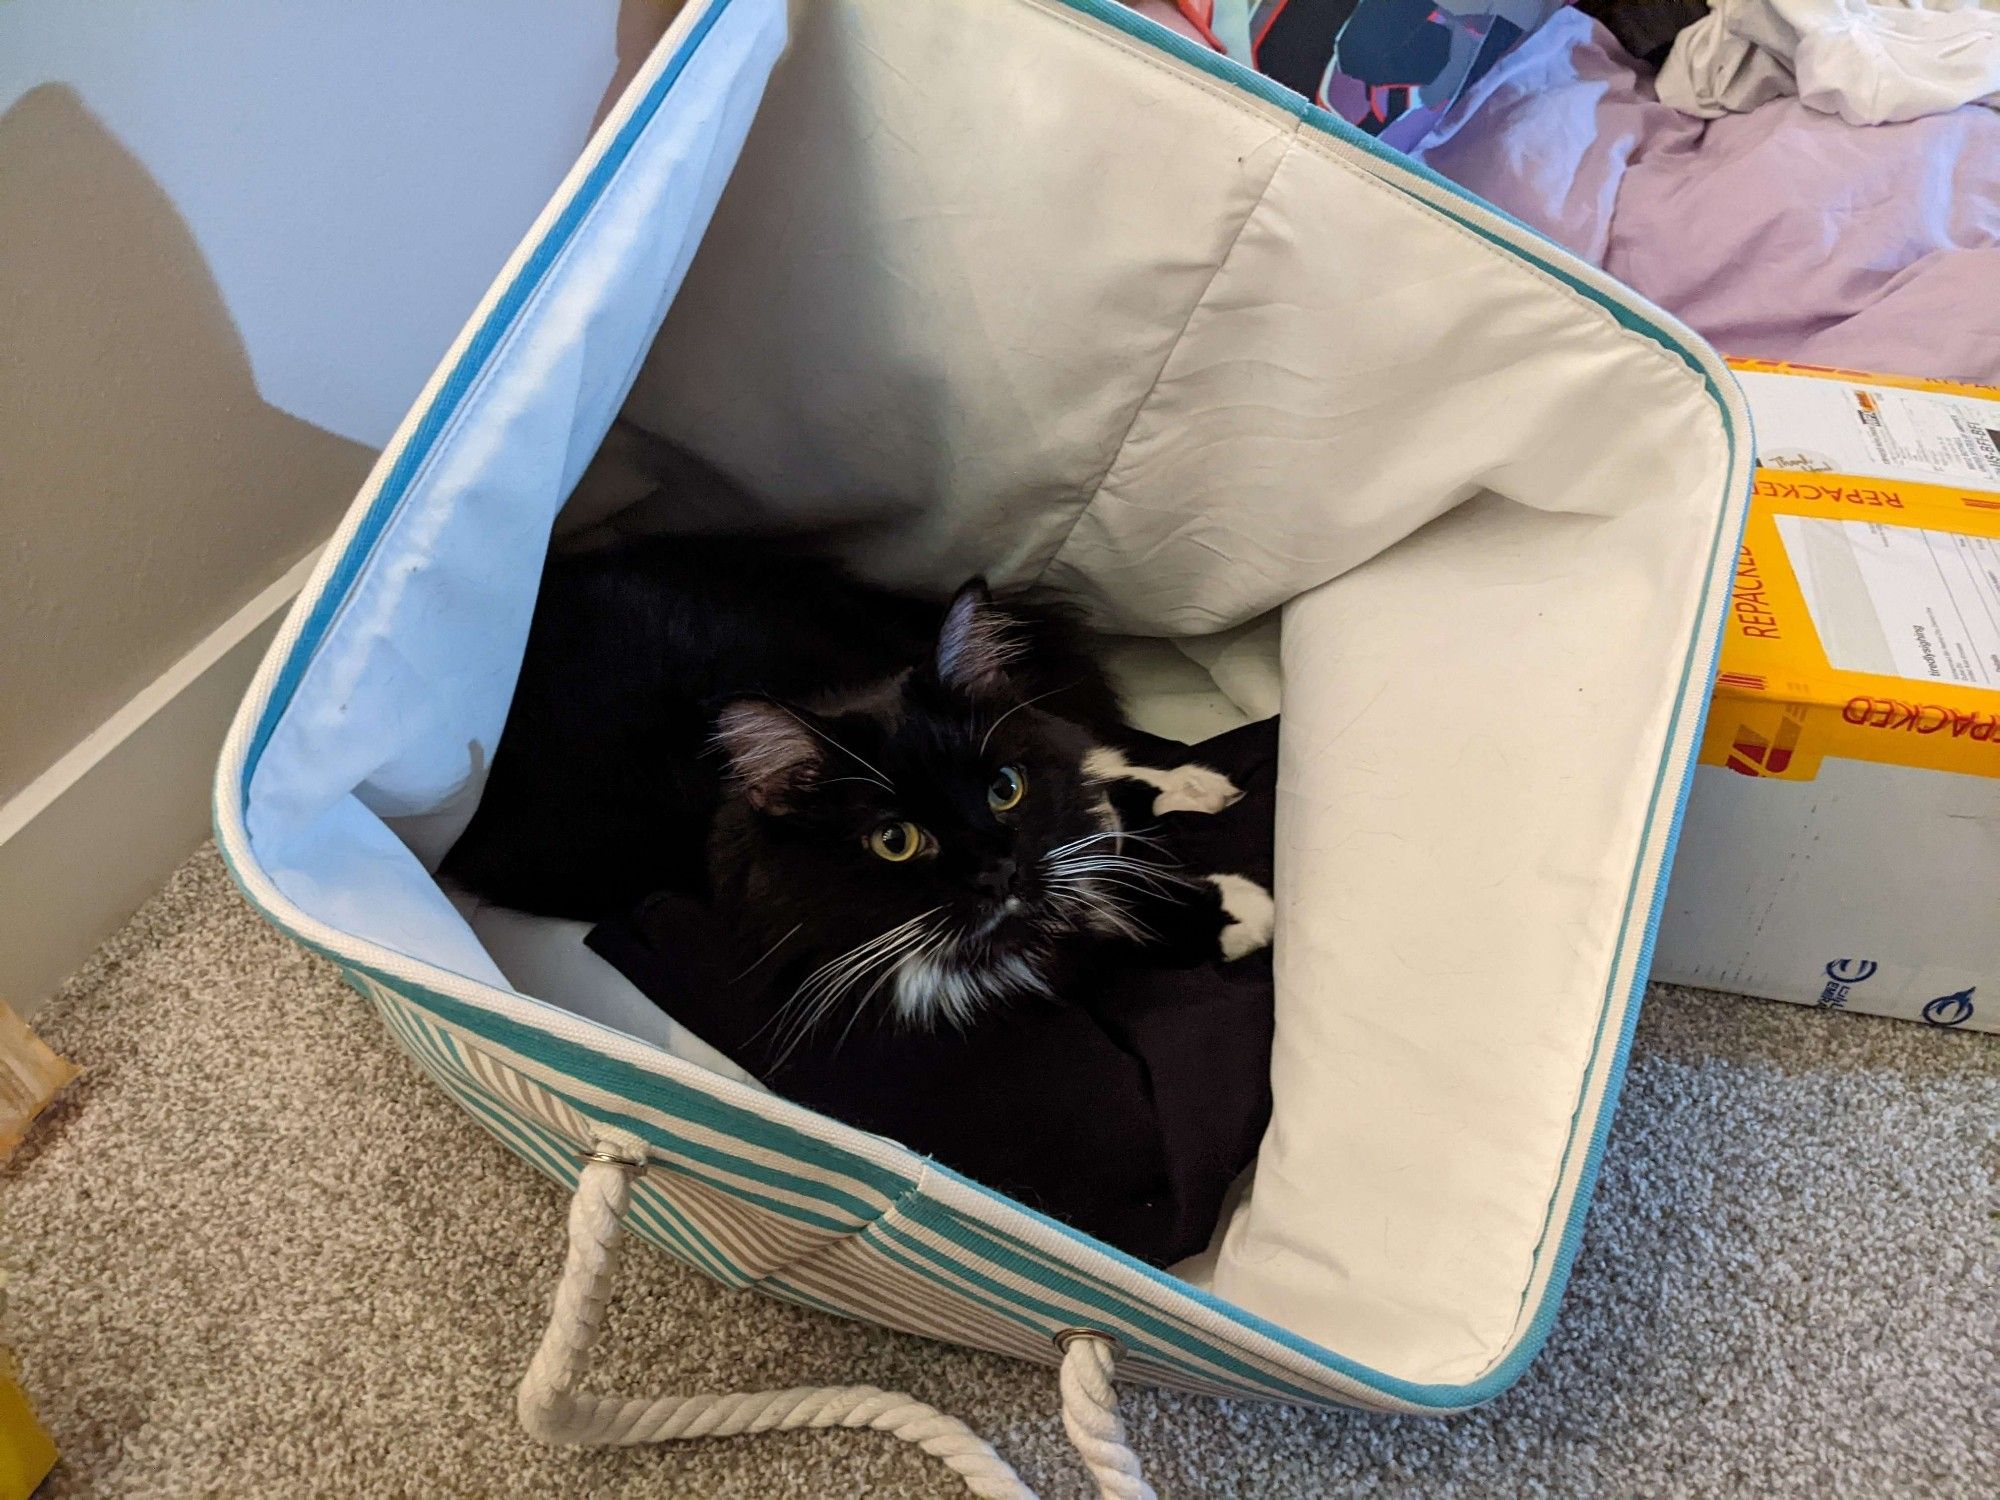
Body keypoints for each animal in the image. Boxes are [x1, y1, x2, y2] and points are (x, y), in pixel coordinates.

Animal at [446, 536, 1272, 1040]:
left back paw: (1189, 783)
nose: (996, 868)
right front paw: (1234, 914)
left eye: (1002, 789)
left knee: (1078, 744)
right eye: (895, 840)